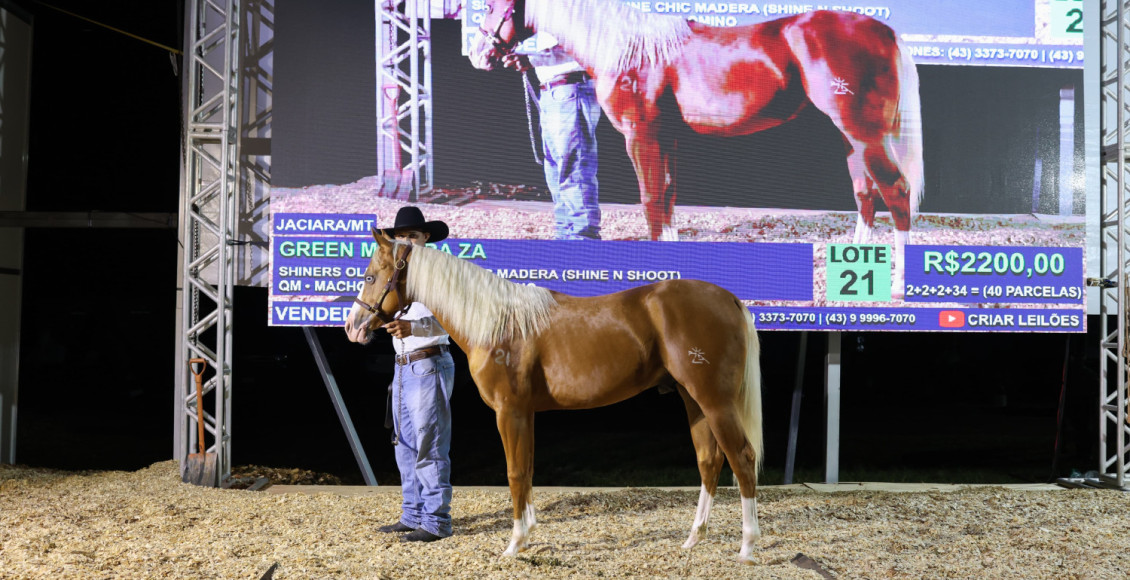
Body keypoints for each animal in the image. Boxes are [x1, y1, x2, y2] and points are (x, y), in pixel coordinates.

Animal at [343, 232, 768, 563]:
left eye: (369, 275)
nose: (353, 327)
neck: (497, 322)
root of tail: (730, 299)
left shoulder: (509, 412)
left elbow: (515, 473)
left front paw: (514, 545)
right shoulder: (525, 413)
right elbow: (528, 469)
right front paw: (528, 535)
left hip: (715, 401)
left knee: (742, 458)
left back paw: (747, 548)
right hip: (694, 401)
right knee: (709, 461)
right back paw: (693, 539)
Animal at [467, 0, 917, 291]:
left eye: (491, 6)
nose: (477, 54)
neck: (629, 49)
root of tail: (885, 32)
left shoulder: (641, 134)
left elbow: (651, 203)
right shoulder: (666, 136)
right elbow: (667, 198)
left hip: (863, 133)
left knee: (896, 192)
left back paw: (898, 286)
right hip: (851, 137)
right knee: (865, 196)